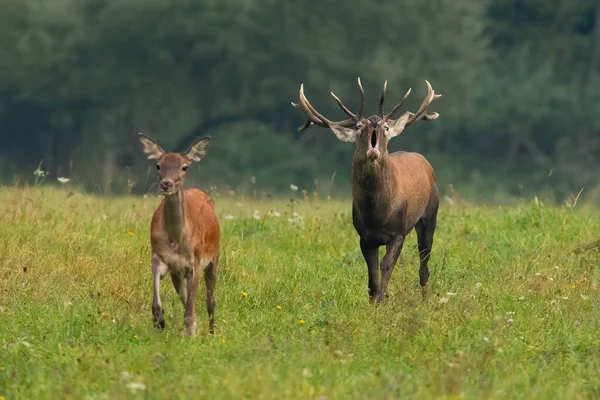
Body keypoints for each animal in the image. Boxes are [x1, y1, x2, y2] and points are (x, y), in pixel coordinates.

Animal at [137, 134, 219, 334]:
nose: (166, 184)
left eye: (184, 166)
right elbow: (159, 301)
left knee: (210, 300)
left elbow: (191, 308)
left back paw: (211, 332)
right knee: (186, 297)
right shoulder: (159, 258)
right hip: (178, 273)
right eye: (158, 165)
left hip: (215, 257)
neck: (176, 239)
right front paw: (160, 321)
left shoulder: (196, 262)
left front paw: (189, 333)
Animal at [292, 79, 440, 304]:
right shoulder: (364, 236)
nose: (374, 125)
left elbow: (385, 266)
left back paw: (425, 296)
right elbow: (372, 274)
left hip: (430, 214)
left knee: (424, 261)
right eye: (358, 127)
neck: (377, 215)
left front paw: (382, 300)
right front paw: (374, 300)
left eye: (386, 127)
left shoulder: (398, 231)